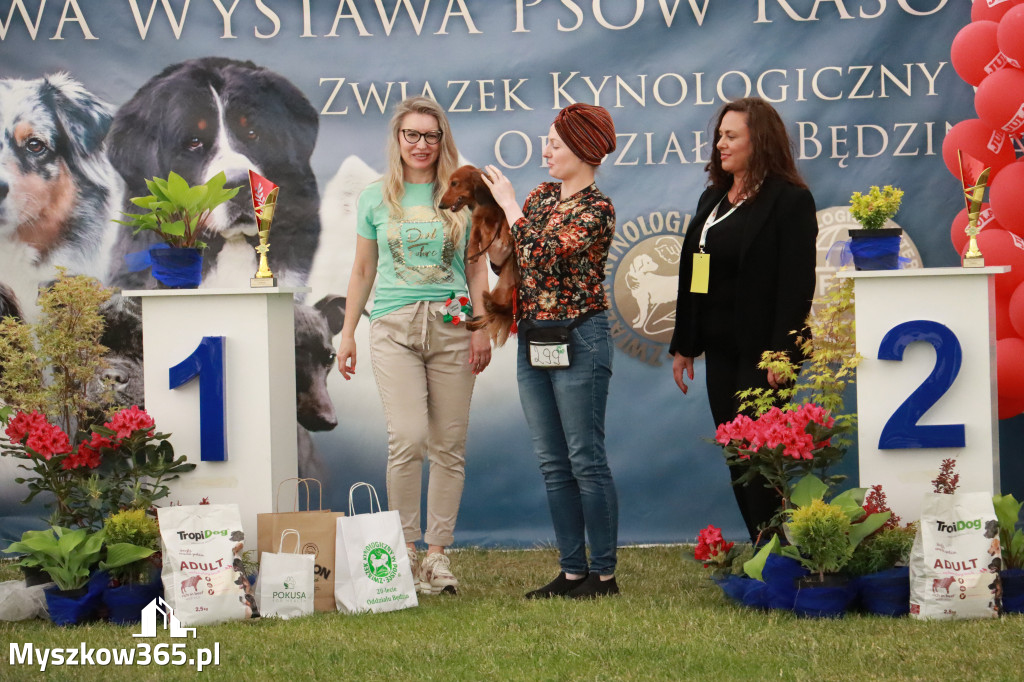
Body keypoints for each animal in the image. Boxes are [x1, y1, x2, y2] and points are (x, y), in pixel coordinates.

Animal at [440, 164, 520, 346]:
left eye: (454, 183)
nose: (440, 205)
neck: (483, 202)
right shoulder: (476, 219)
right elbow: (474, 237)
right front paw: (472, 254)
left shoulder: (503, 209)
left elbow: (505, 222)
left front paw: (506, 236)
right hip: (496, 294)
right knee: (488, 317)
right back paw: (472, 325)